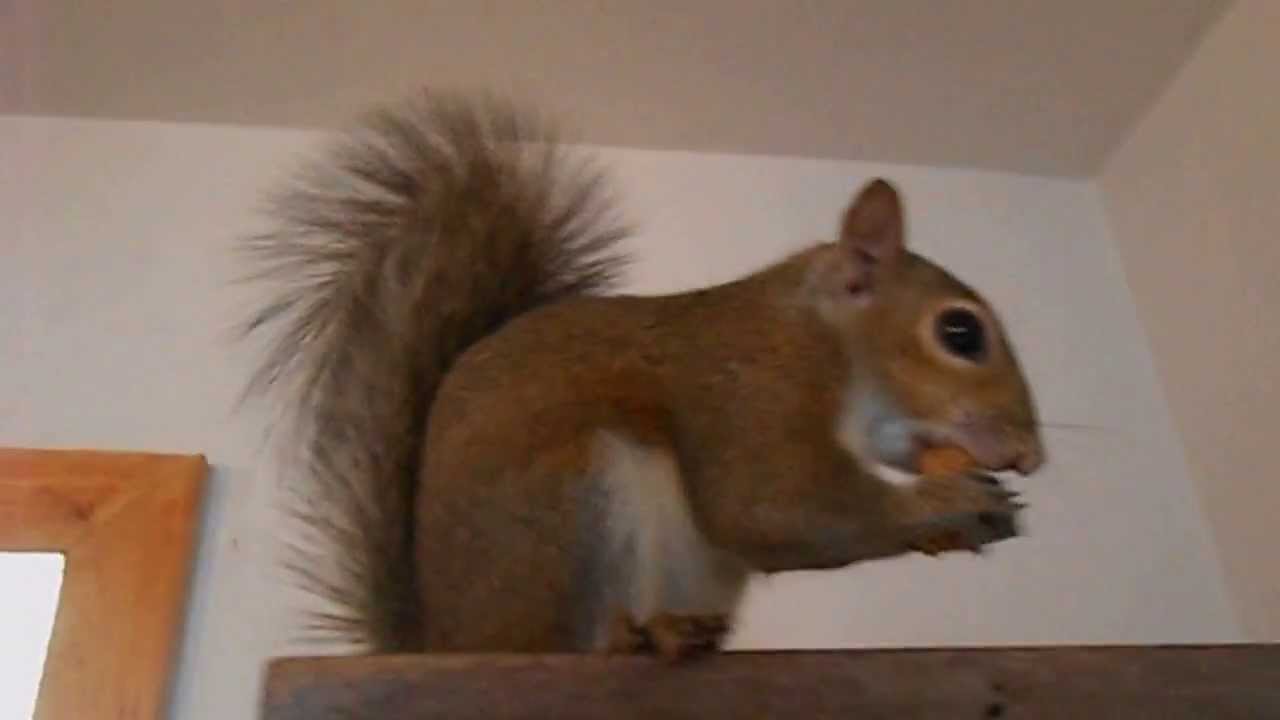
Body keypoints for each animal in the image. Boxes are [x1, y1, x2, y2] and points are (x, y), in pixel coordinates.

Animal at [239, 91, 1045, 660]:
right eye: (960, 332)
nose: (1031, 455)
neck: (821, 339)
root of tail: (444, 644)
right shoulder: (748, 392)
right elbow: (771, 507)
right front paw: (944, 504)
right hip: (573, 504)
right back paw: (637, 637)